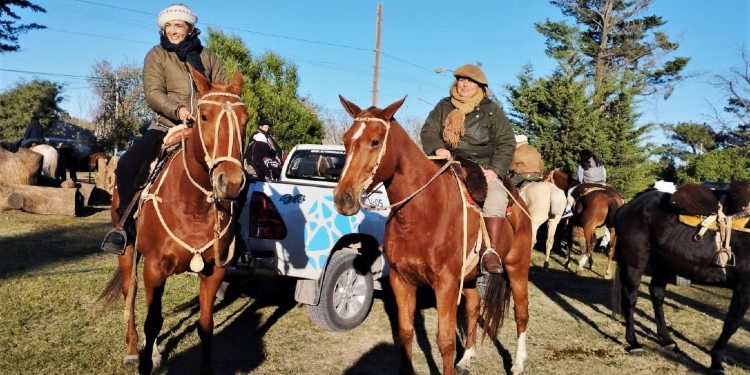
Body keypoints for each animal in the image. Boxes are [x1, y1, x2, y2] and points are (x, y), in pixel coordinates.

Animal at [97, 68, 248, 375]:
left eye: (245, 120)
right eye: (204, 117)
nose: (231, 182)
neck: (193, 207)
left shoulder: (214, 272)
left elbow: (205, 325)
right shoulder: (154, 268)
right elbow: (152, 323)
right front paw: (143, 360)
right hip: (128, 251)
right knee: (131, 294)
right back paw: (133, 350)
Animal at [334, 97, 536, 375]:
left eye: (375, 141)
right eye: (345, 140)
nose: (343, 198)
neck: (422, 212)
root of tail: (518, 199)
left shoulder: (446, 285)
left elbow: (446, 342)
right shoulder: (401, 280)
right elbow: (406, 332)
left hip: (517, 269)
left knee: (521, 314)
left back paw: (517, 363)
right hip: (471, 278)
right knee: (473, 310)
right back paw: (467, 357)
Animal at [612, 184, 750, 374]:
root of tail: (628, 206)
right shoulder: (744, 286)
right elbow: (732, 323)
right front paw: (716, 362)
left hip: (663, 262)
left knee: (656, 293)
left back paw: (666, 340)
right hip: (635, 261)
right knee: (631, 297)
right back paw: (634, 343)